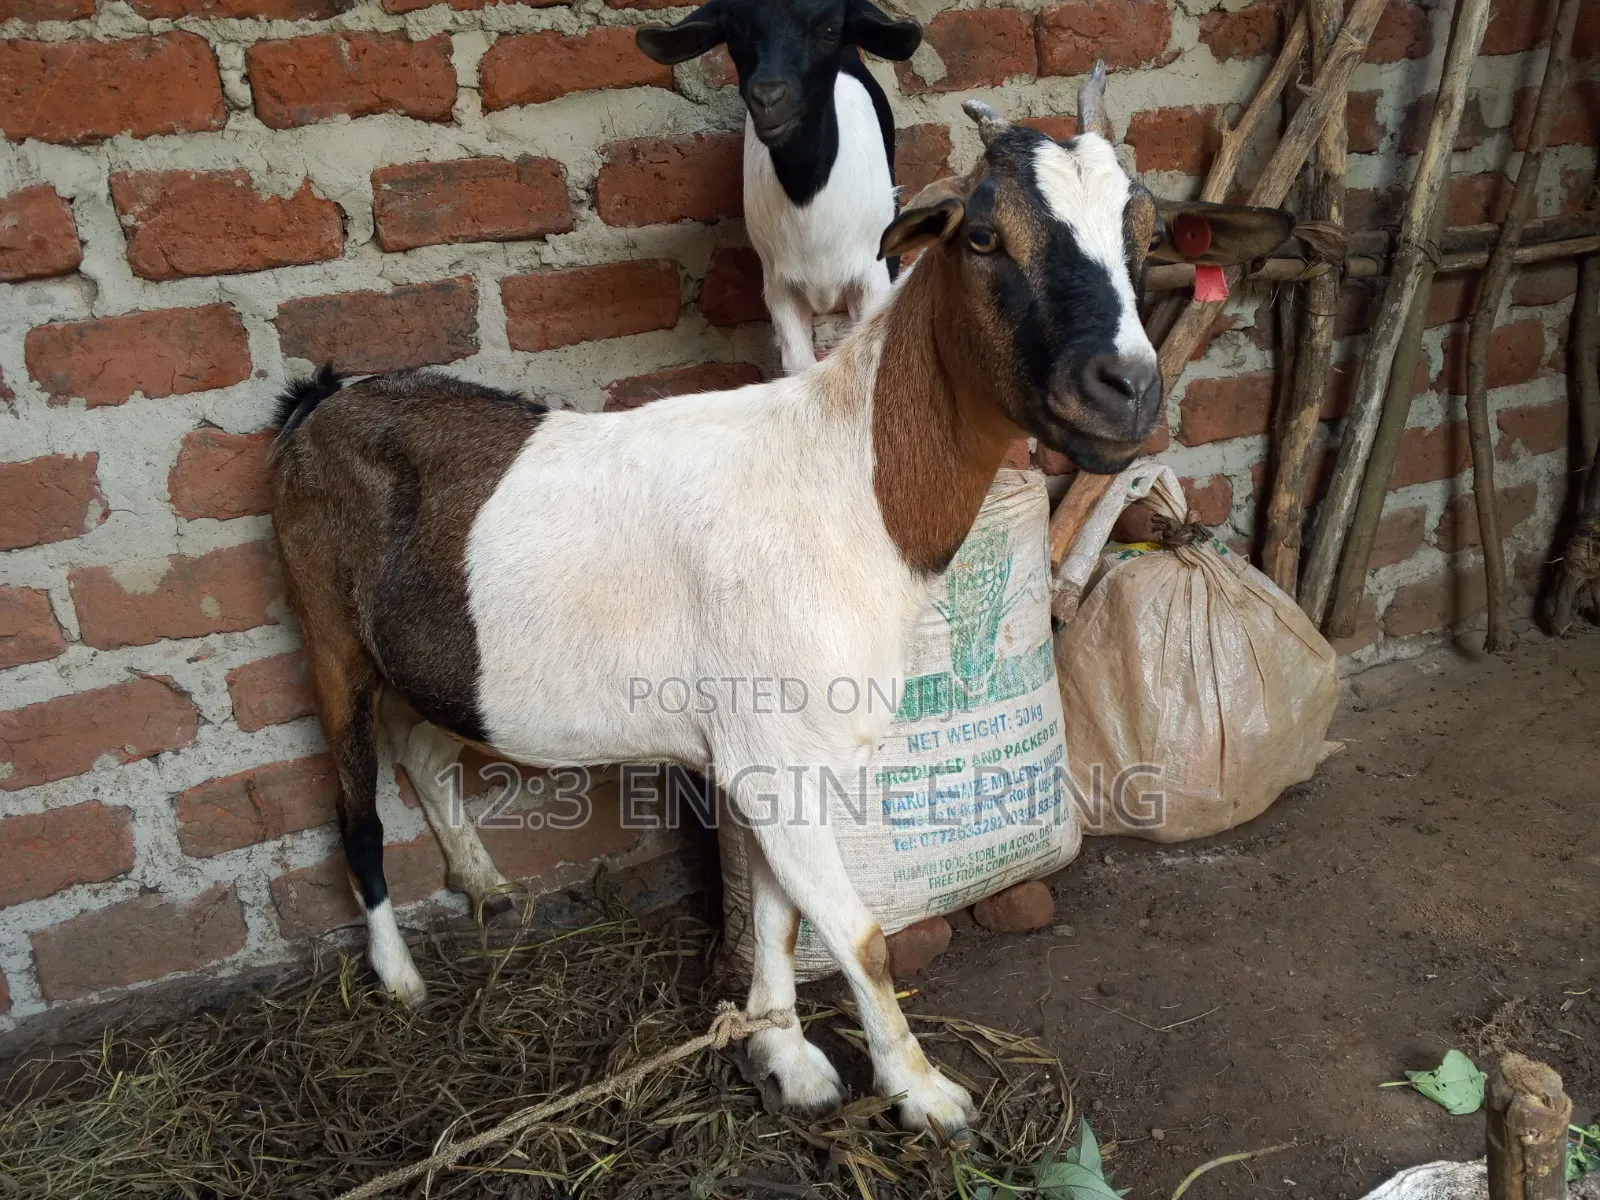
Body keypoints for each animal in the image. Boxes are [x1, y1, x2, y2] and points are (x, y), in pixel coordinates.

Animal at [271, 79, 1292, 1132]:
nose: (1125, 390)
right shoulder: (774, 756)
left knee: (424, 749)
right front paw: (922, 1092)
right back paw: (398, 977)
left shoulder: (769, 756)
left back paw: (483, 884)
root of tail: (318, 407)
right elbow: (859, 933)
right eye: (981, 236)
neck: (847, 482)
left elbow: (779, 915)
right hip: (328, 631)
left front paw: (783, 1054)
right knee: (355, 804)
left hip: (446, 662)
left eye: (1146, 234)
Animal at [637, 0, 922, 375]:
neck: (808, 196)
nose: (768, 98)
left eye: (829, 30)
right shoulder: (779, 288)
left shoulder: (871, 276)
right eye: (734, 31)